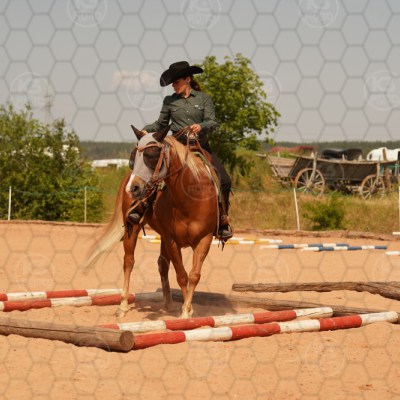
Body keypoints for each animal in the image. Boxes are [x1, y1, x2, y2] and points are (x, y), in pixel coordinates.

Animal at [85, 125, 219, 318]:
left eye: (151, 155)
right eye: (133, 157)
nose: (133, 188)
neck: (189, 200)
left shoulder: (204, 239)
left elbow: (194, 275)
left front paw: (187, 310)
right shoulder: (172, 240)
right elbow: (182, 275)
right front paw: (186, 312)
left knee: (162, 266)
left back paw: (169, 304)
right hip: (132, 230)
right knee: (129, 262)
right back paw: (123, 305)